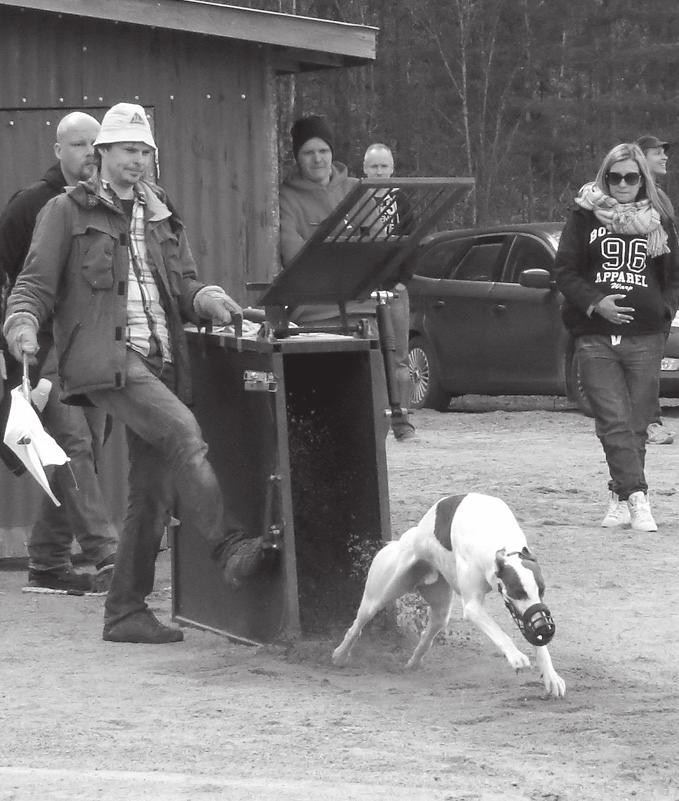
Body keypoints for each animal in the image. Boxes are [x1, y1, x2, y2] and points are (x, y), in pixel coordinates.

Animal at [332, 490, 564, 696]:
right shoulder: (473, 606)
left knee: (429, 633)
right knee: (357, 625)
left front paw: (551, 676)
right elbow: (499, 632)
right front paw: (516, 656)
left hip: (440, 606)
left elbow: (534, 636)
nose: (545, 626)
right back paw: (340, 655)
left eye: (542, 590)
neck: (498, 539)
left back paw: (413, 662)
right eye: (518, 591)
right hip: (379, 594)